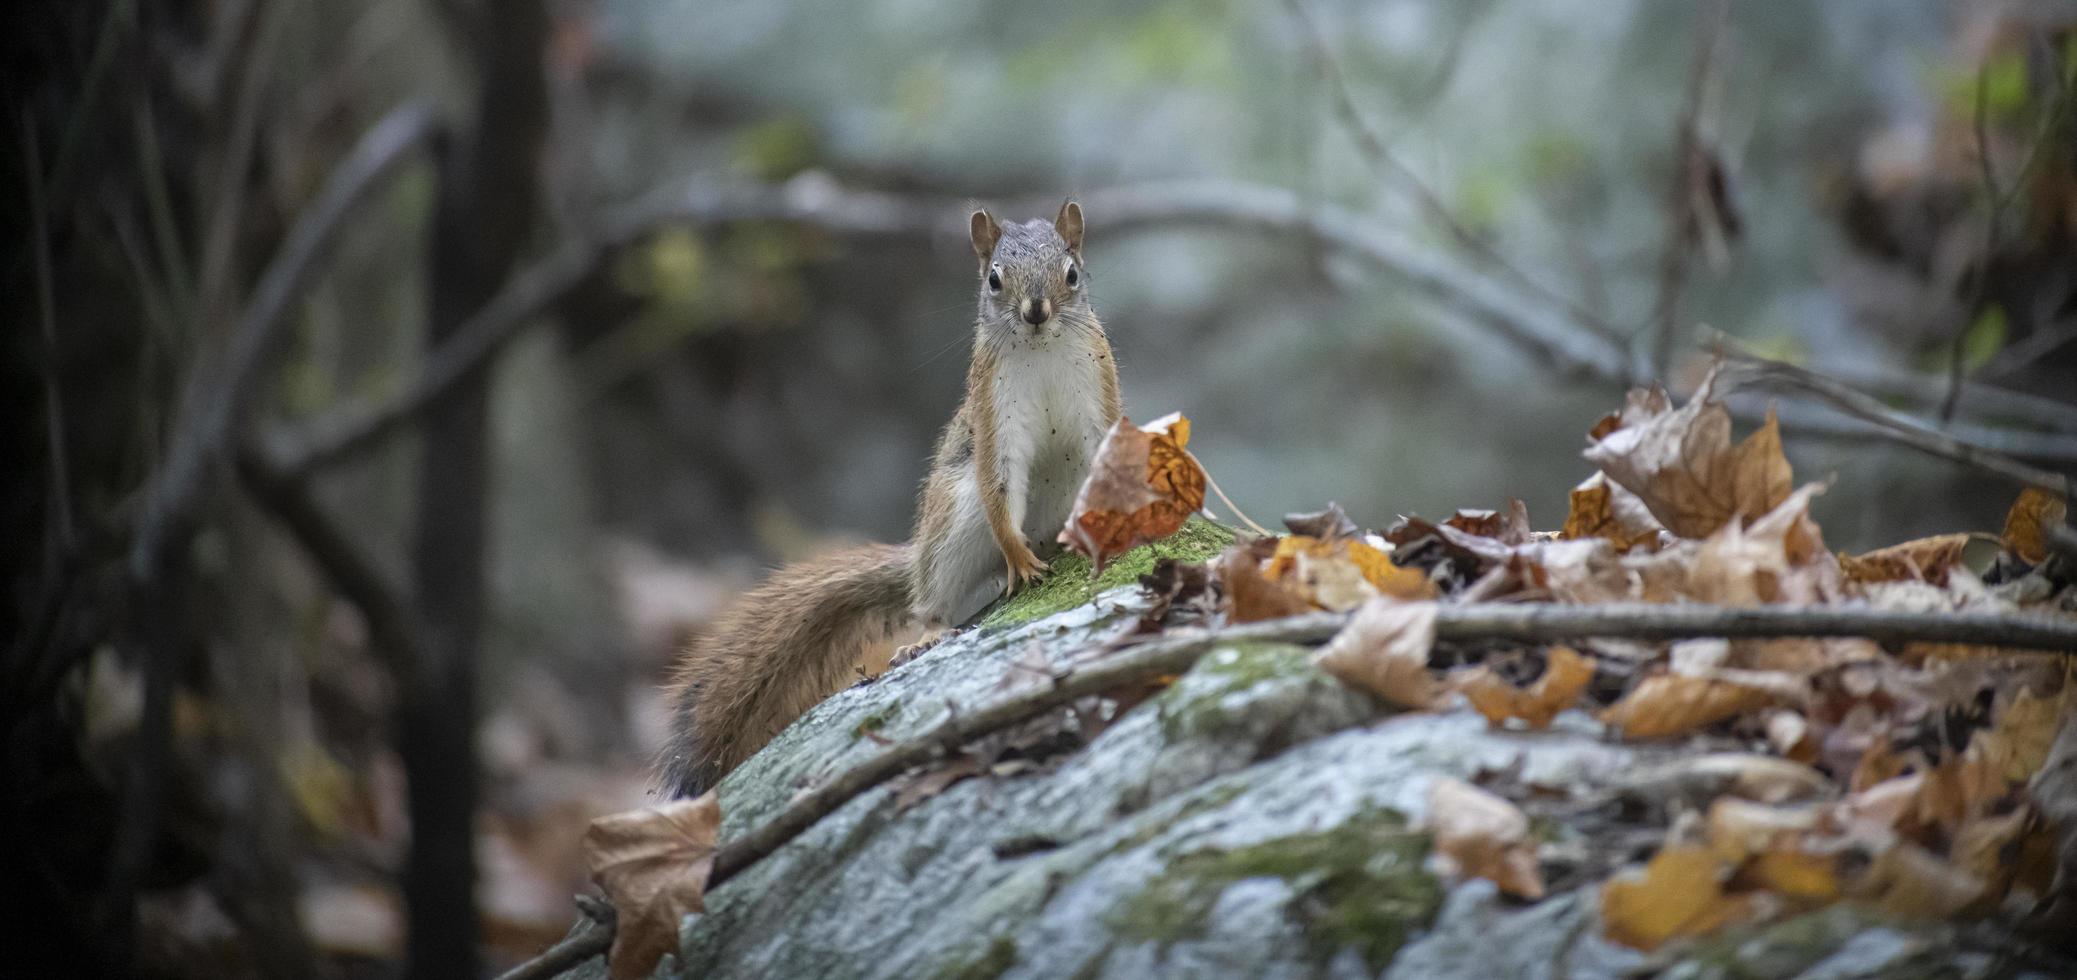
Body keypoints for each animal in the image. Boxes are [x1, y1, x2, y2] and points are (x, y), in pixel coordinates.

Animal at [660, 199, 1121, 797]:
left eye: (1071, 273)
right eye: (994, 279)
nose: (1036, 311)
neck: (1041, 351)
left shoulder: (1098, 397)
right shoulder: (993, 414)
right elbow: (999, 482)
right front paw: (1019, 560)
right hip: (952, 523)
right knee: (933, 601)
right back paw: (930, 633)